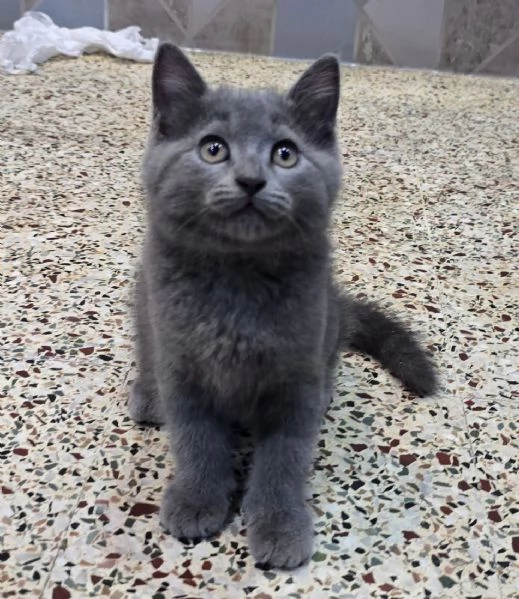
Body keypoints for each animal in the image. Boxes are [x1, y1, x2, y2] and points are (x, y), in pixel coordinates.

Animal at [129, 43, 434, 572]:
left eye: (285, 153)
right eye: (213, 148)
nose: (251, 180)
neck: (238, 282)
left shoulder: (296, 378)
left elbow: (283, 461)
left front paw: (279, 525)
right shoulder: (184, 370)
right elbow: (195, 441)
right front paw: (195, 499)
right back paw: (149, 396)